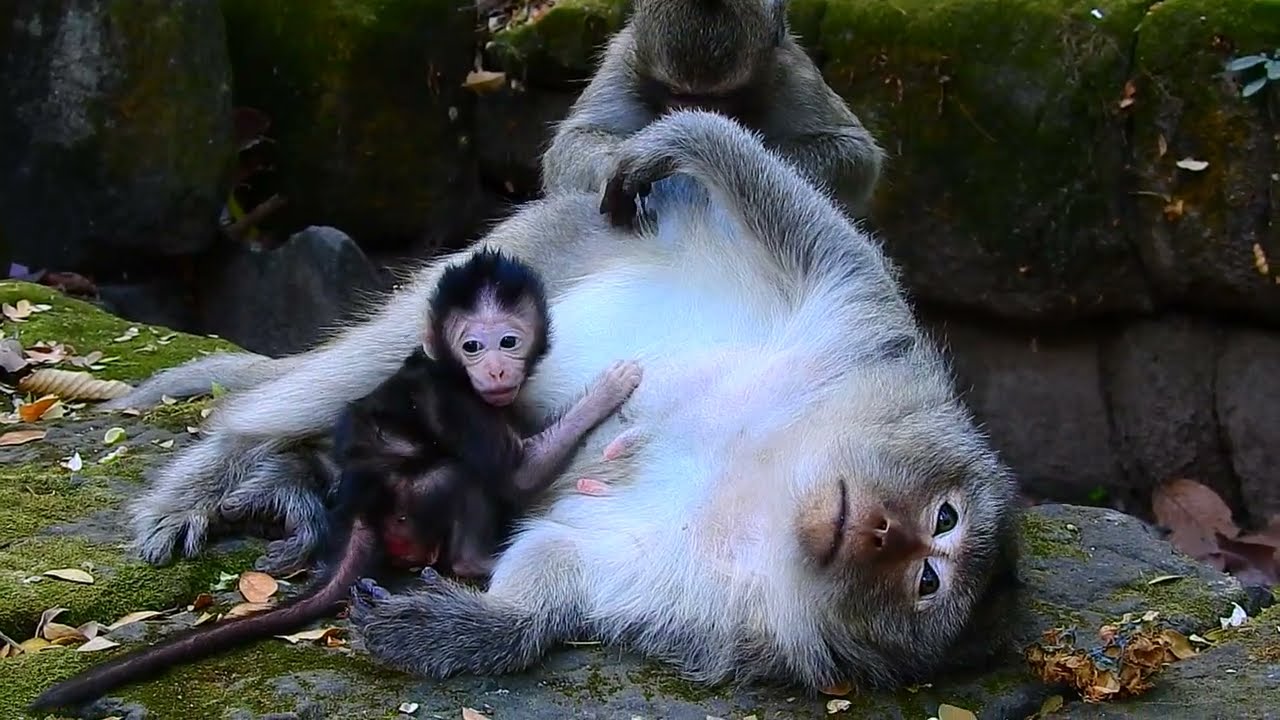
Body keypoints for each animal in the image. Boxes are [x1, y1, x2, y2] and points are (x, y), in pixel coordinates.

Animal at [101, 108, 1022, 696]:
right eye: (943, 520)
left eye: (930, 578)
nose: (882, 532)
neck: (767, 474)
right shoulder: (857, 341)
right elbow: (801, 226)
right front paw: (672, 141)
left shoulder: (711, 606)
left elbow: (559, 568)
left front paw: (471, 627)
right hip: (532, 252)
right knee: (351, 373)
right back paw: (224, 466)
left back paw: (290, 480)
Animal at [539, 0, 885, 216]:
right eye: (678, 96)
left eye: (721, 100)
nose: (698, 119)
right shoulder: (622, 64)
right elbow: (574, 140)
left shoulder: (791, 76)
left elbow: (856, 154)